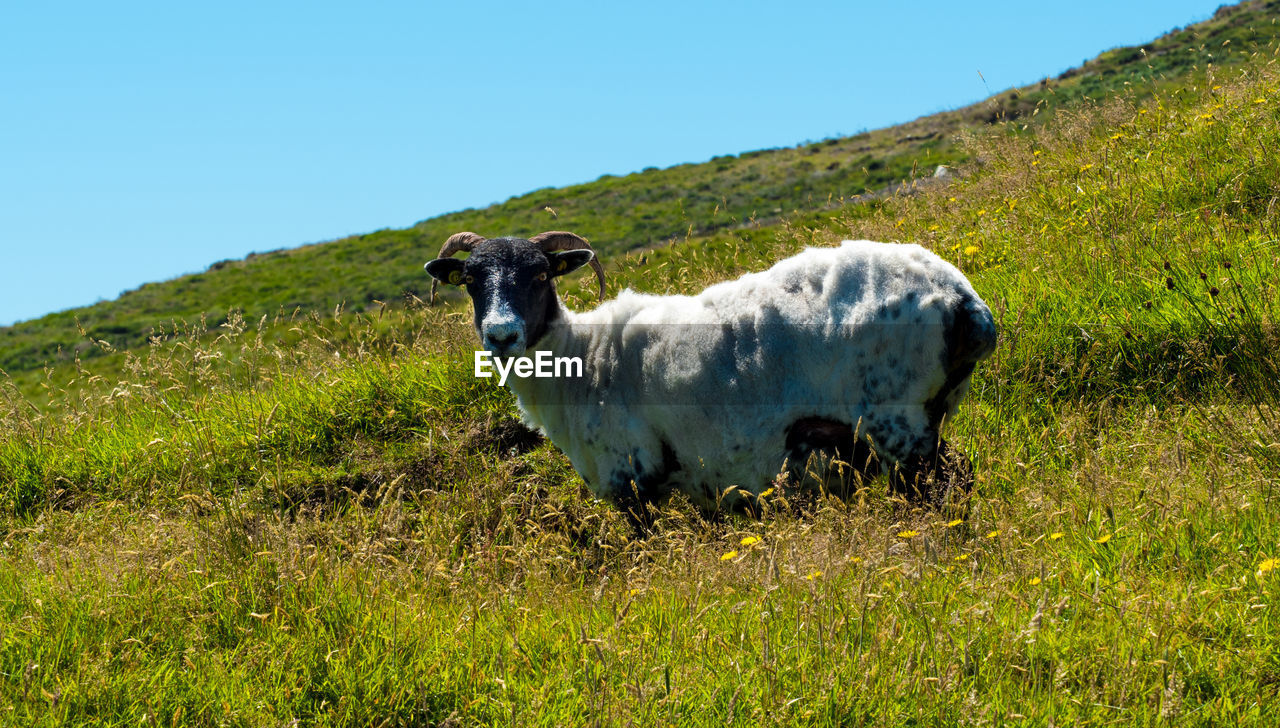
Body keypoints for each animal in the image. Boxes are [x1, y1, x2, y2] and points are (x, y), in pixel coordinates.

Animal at [424, 231, 993, 516]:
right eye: (470, 280)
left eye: (541, 274)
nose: (500, 335)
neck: (577, 359)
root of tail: (965, 300)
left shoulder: (630, 476)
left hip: (898, 422)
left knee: (944, 487)